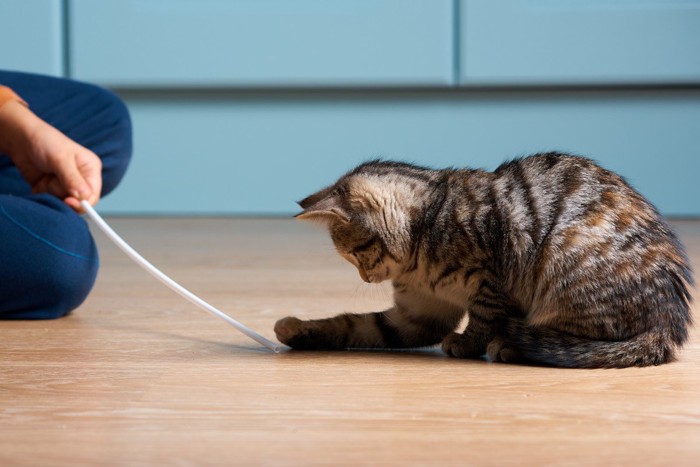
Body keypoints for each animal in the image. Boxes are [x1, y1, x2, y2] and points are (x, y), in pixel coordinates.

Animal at [270, 154, 692, 370]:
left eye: (357, 253)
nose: (365, 276)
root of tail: (667, 323)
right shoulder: (416, 316)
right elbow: (353, 325)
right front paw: (297, 328)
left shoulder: (492, 282)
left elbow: (483, 317)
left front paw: (468, 342)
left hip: (567, 259)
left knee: (586, 346)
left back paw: (511, 346)